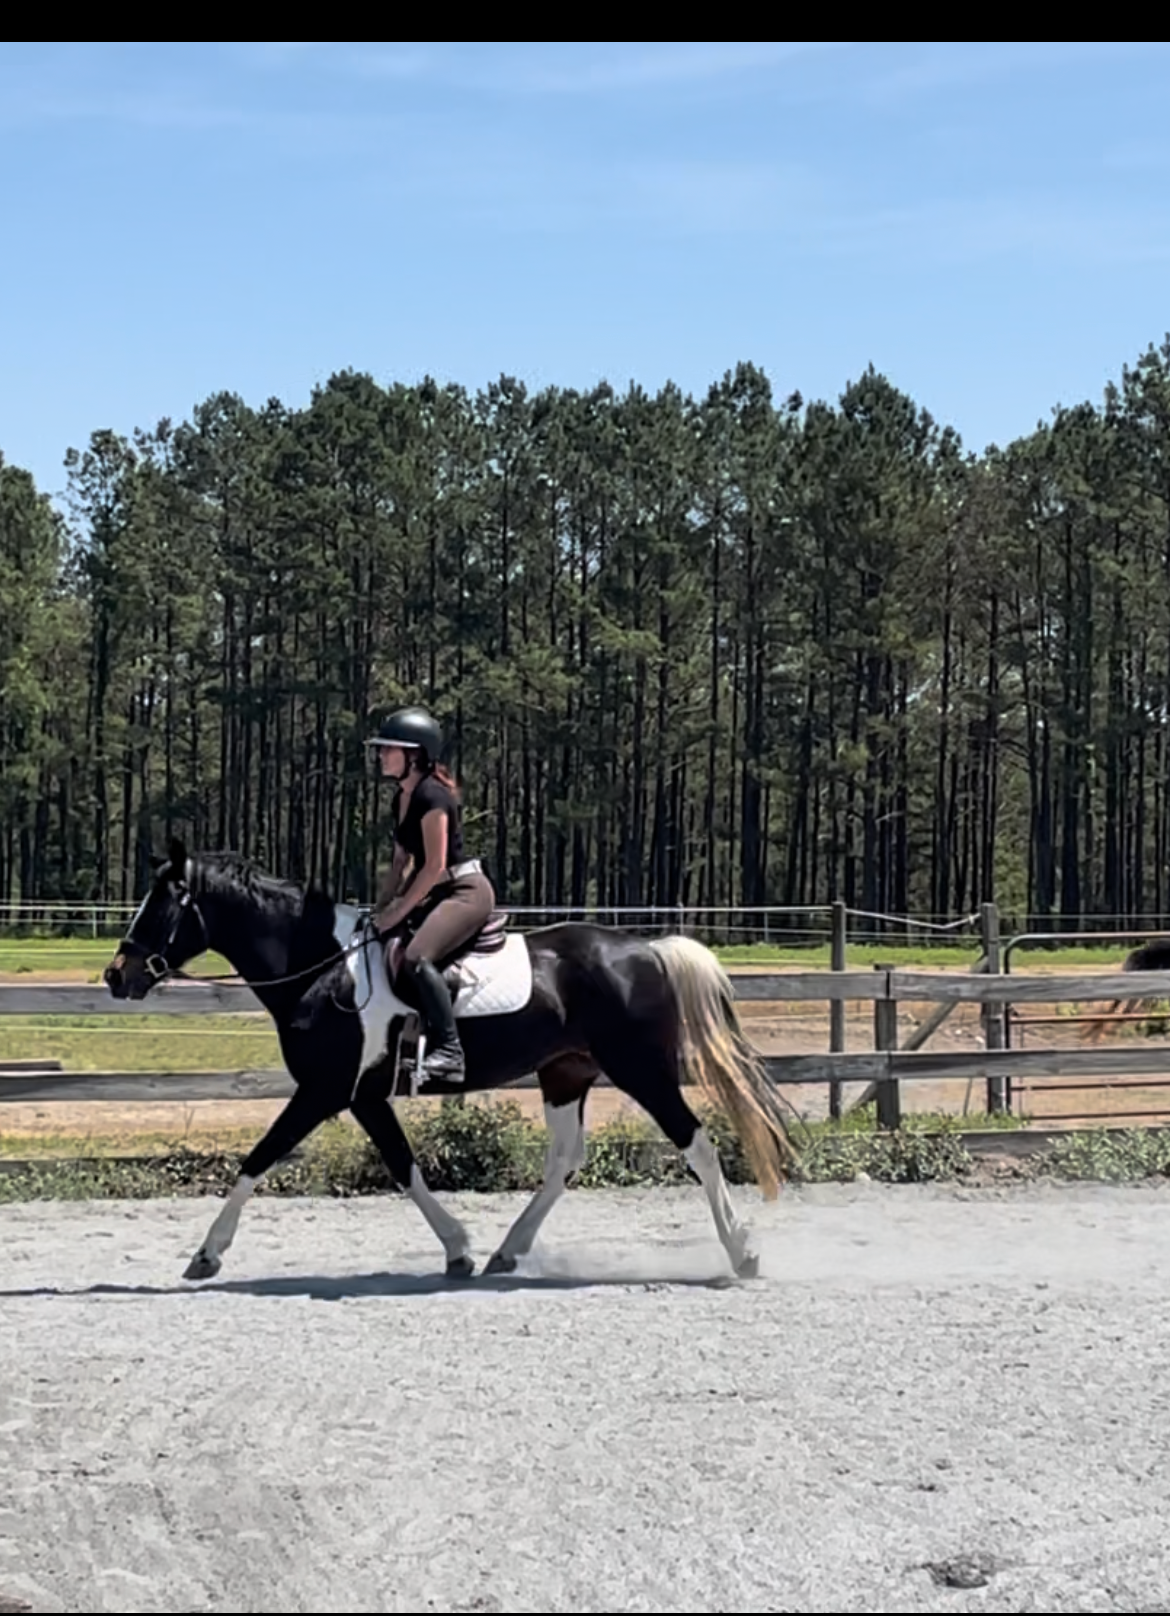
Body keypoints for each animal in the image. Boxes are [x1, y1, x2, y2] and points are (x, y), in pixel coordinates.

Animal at [102, 839, 799, 1284]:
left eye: (163, 905)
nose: (116, 975)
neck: (324, 969)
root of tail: (647, 948)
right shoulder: (362, 1095)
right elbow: (403, 1166)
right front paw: (460, 1250)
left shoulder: (324, 1091)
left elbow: (258, 1159)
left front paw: (206, 1255)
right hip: (565, 1073)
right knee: (564, 1161)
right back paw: (507, 1254)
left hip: (641, 1071)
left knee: (697, 1145)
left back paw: (742, 1254)